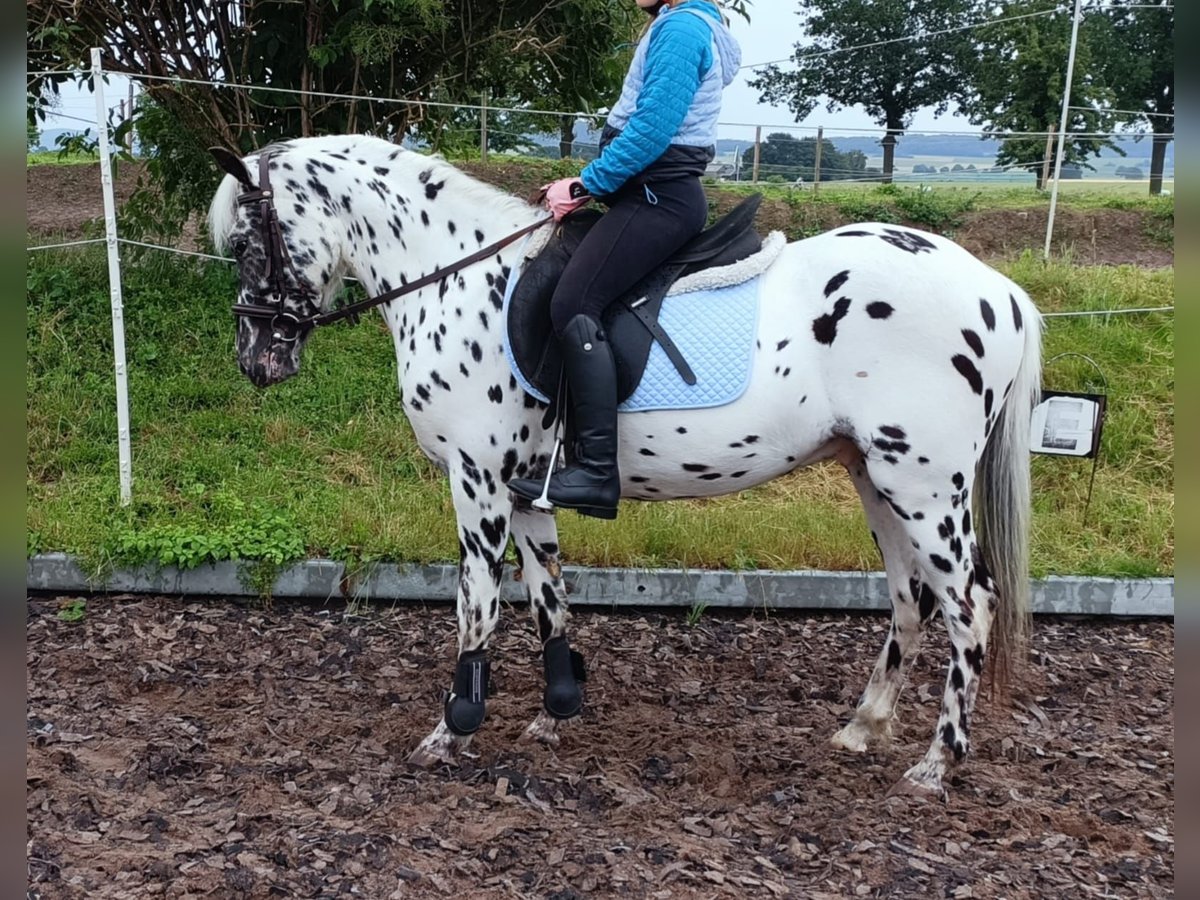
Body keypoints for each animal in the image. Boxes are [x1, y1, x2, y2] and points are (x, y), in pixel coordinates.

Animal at [206, 133, 1041, 796]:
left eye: (245, 243)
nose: (256, 360)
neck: (459, 280)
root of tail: (998, 290)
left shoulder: (477, 480)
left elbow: (476, 604)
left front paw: (453, 730)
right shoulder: (527, 490)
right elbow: (550, 599)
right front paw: (556, 713)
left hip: (925, 487)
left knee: (971, 606)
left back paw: (936, 764)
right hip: (875, 478)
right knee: (909, 599)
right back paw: (864, 727)